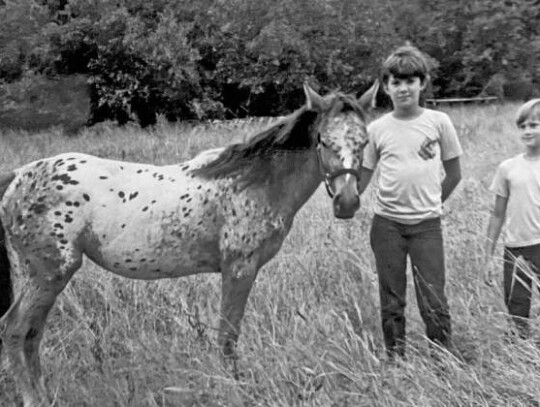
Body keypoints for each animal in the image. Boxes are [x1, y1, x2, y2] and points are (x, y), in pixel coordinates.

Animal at [0, 82, 378, 404]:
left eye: (363, 143)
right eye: (324, 142)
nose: (347, 203)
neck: (255, 182)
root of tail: (18, 176)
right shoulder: (239, 268)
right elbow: (227, 336)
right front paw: (233, 389)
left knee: (32, 333)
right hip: (49, 274)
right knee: (16, 329)